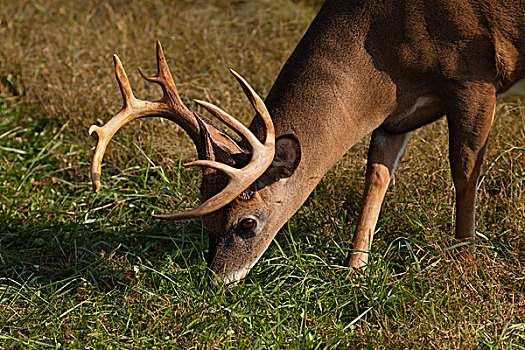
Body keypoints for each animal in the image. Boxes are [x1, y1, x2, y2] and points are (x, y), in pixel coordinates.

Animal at [88, 0, 520, 284]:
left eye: (246, 223)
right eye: (207, 222)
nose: (216, 282)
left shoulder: (474, 77)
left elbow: (465, 171)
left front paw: (466, 263)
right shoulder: (396, 117)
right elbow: (376, 178)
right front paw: (354, 269)